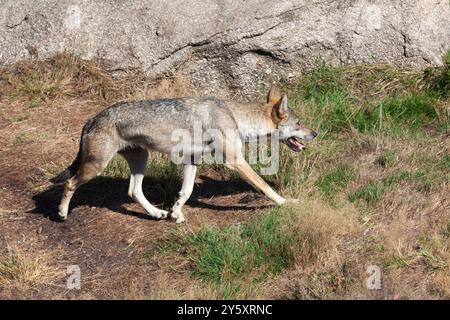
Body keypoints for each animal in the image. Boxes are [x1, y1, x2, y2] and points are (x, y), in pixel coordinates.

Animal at [51, 86, 316, 224]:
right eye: (299, 123)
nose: (315, 132)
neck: (236, 117)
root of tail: (91, 119)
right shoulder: (235, 162)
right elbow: (265, 187)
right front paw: (286, 203)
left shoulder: (192, 159)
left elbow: (185, 192)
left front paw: (175, 212)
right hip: (96, 167)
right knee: (70, 182)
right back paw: (62, 213)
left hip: (141, 160)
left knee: (133, 191)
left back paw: (157, 213)